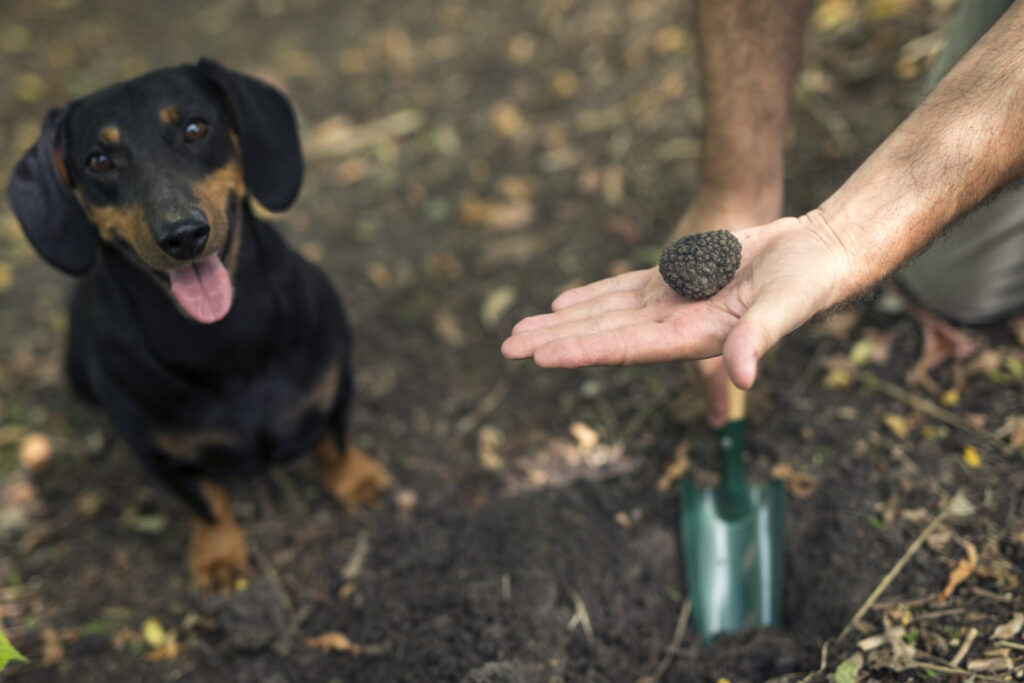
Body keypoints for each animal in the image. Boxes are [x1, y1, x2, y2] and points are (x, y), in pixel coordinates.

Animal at [7, 60, 391, 593]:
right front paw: (218, 557)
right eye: (99, 161)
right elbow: (207, 503)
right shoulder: (161, 457)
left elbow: (335, 443)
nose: (184, 236)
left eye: (195, 128)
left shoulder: (337, 384)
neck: (224, 341)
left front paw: (359, 482)